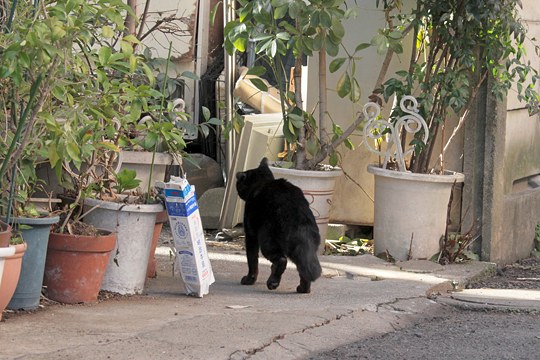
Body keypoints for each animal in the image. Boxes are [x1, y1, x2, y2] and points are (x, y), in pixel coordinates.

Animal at [235, 158, 320, 292]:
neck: (262, 182)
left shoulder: (250, 234)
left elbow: (252, 260)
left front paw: (249, 280)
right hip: (304, 249)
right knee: (303, 267)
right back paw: (303, 289)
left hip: (267, 240)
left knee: (281, 260)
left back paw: (273, 282)